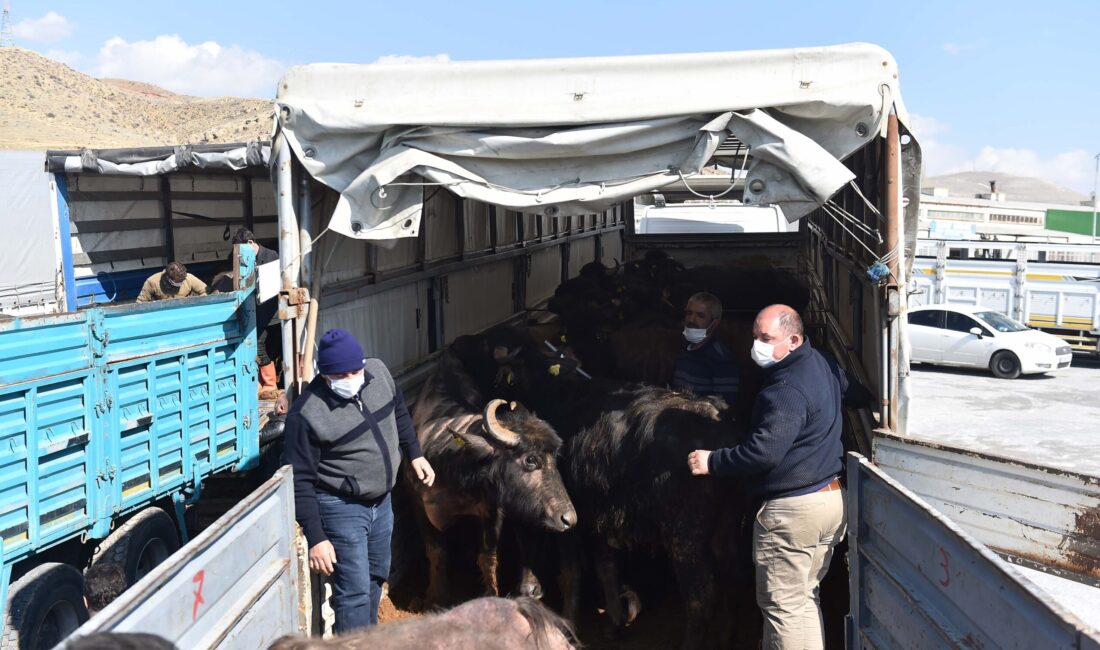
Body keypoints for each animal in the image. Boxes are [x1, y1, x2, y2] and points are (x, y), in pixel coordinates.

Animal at [411, 354, 576, 607]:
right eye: (531, 460)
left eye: (555, 458)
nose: (569, 519)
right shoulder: (419, 505)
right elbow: (436, 551)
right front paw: (434, 597)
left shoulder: (492, 511)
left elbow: (487, 556)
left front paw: (491, 595)